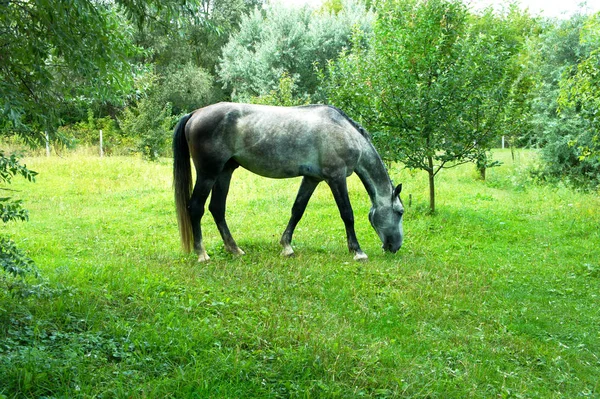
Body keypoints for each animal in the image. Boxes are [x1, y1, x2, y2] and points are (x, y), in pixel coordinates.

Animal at [171, 102, 404, 262]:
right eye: (400, 212)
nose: (395, 246)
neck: (344, 132)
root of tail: (195, 114)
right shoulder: (336, 177)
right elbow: (347, 214)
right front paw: (357, 251)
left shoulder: (312, 178)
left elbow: (297, 210)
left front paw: (286, 246)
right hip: (208, 172)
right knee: (196, 207)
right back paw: (202, 254)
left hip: (224, 172)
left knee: (217, 208)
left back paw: (234, 249)